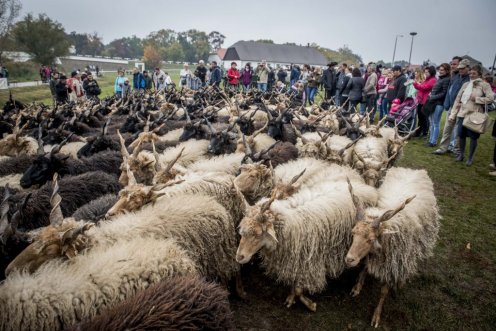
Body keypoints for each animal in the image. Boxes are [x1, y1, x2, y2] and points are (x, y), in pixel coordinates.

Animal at [234, 170, 378, 312]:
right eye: (242, 230)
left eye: (258, 233)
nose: (239, 257)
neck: (289, 224)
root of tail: (368, 188)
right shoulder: (294, 260)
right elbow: (294, 283)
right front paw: (291, 298)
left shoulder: (309, 262)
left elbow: (299, 290)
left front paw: (310, 304)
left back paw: (357, 286)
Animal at [342, 169, 440, 330]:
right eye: (353, 233)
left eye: (371, 239)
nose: (349, 259)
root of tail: (415, 170)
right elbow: (365, 267)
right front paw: (357, 287)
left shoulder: (393, 264)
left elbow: (383, 291)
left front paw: (376, 316)